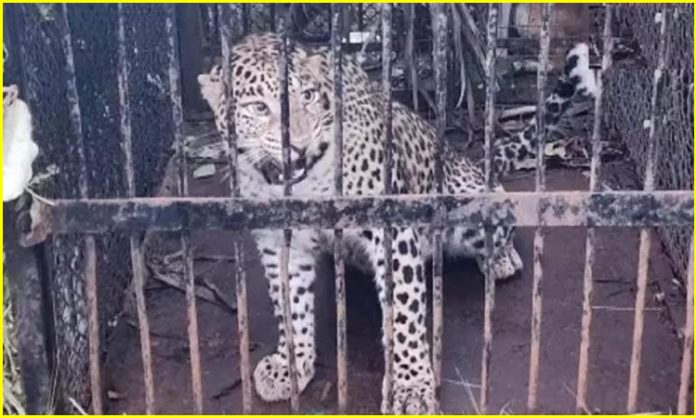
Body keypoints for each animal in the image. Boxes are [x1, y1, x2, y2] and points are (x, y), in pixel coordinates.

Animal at [197, 31, 600, 412]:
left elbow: (404, 312)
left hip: (469, 206)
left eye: (308, 96)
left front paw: (411, 385)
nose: (297, 144)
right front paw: (290, 365)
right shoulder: (277, 238)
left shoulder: (391, 225)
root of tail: (469, 161)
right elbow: (289, 304)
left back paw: (502, 259)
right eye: (258, 107)